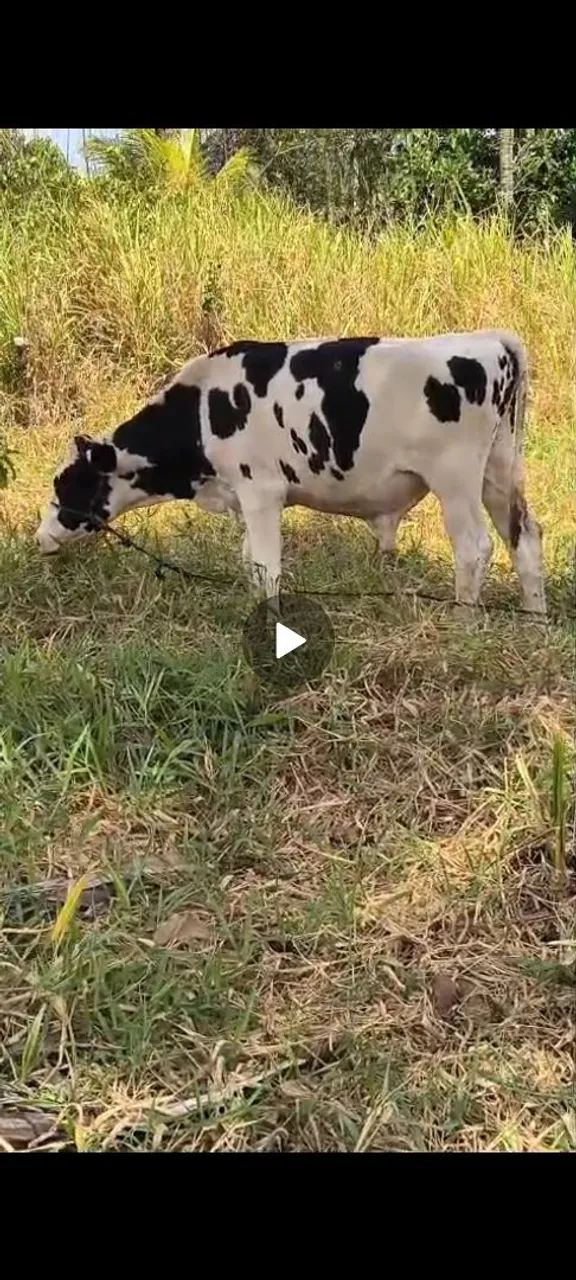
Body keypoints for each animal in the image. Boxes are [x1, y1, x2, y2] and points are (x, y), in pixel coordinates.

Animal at [36, 330, 546, 614]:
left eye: (69, 483)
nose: (39, 536)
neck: (202, 410)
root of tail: (490, 338)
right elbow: (249, 561)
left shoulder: (261, 491)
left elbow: (267, 567)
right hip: (499, 470)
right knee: (524, 538)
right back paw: (534, 621)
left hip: (455, 478)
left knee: (474, 548)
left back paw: (464, 623)